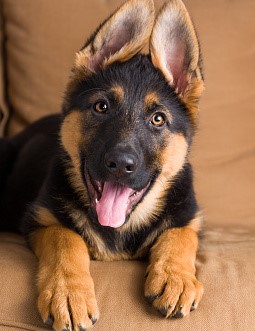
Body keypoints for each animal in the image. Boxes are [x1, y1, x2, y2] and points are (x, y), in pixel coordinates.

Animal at [0, 0, 205, 330]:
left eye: (158, 119)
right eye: (101, 106)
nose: (120, 164)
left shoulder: (190, 215)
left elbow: (180, 235)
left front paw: (176, 278)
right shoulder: (42, 218)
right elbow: (66, 239)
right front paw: (68, 293)